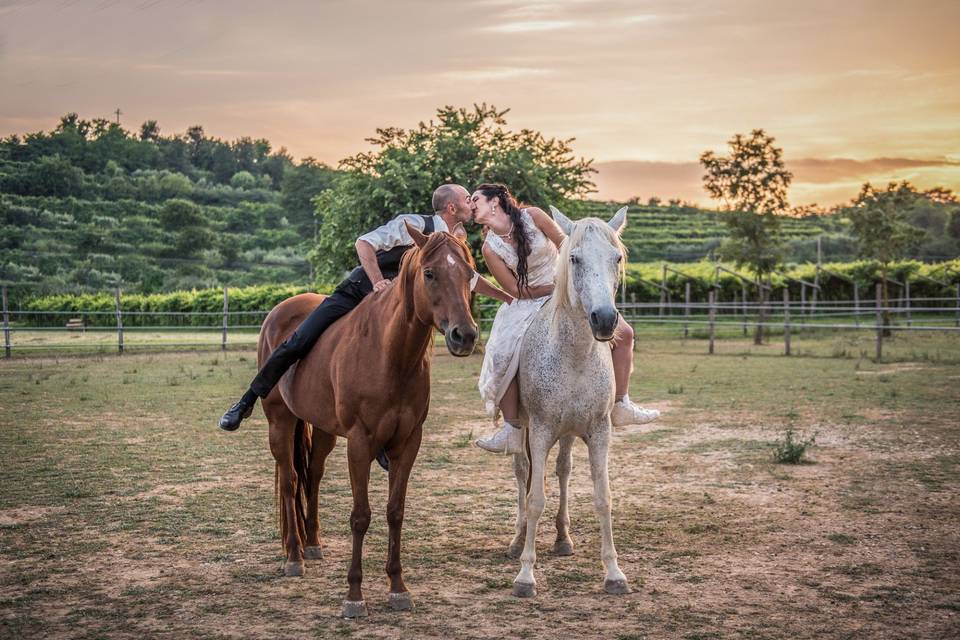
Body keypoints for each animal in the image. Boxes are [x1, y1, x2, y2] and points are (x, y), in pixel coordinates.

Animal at [258, 228, 476, 616]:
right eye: (430, 273)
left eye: (469, 273)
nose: (464, 335)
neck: (391, 354)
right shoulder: (360, 443)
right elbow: (360, 516)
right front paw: (354, 595)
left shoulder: (408, 442)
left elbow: (395, 511)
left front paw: (398, 587)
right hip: (279, 422)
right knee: (289, 481)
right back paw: (295, 556)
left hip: (323, 429)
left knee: (312, 476)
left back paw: (312, 544)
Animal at [506, 206, 632, 600]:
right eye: (574, 259)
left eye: (616, 258)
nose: (604, 319)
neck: (574, 355)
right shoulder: (540, 430)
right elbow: (534, 499)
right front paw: (525, 576)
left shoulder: (599, 431)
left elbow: (603, 498)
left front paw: (614, 573)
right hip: (524, 430)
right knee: (522, 473)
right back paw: (517, 540)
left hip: (568, 433)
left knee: (562, 471)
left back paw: (562, 537)